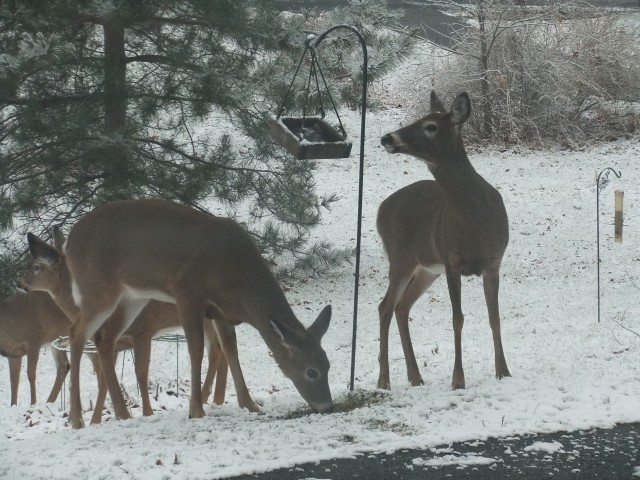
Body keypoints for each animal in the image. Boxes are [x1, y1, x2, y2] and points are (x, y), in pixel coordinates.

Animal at [23, 232, 231, 424]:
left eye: (37, 266)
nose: (21, 282)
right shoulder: (114, 343)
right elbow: (104, 382)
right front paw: (96, 420)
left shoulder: (142, 331)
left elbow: (140, 372)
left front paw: (147, 412)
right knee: (220, 350)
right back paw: (215, 399)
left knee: (217, 351)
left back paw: (206, 399)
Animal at [47, 199, 332, 428]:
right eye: (311, 371)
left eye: (328, 365)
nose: (328, 407)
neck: (236, 280)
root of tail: (68, 243)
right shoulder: (187, 293)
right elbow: (195, 349)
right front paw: (196, 409)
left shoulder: (222, 312)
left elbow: (230, 349)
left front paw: (250, 404)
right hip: (97, 288)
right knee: (76, 334)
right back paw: (77, 419)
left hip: (132, 296)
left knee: (105, 340)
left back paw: (122, 413)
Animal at [378, 92, 512, 392]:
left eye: (431, 126)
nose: (387, 138)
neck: (475, 219)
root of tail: (381, 210)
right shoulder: (452, 261)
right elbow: (457, 319)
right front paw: (458, 379)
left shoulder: (494, 262)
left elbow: (495, 317)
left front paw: (503, 371)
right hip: (400, 259)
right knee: (385, 307)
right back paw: (384, 381)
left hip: (426, 269)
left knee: (401, 307)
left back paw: (415, 376)